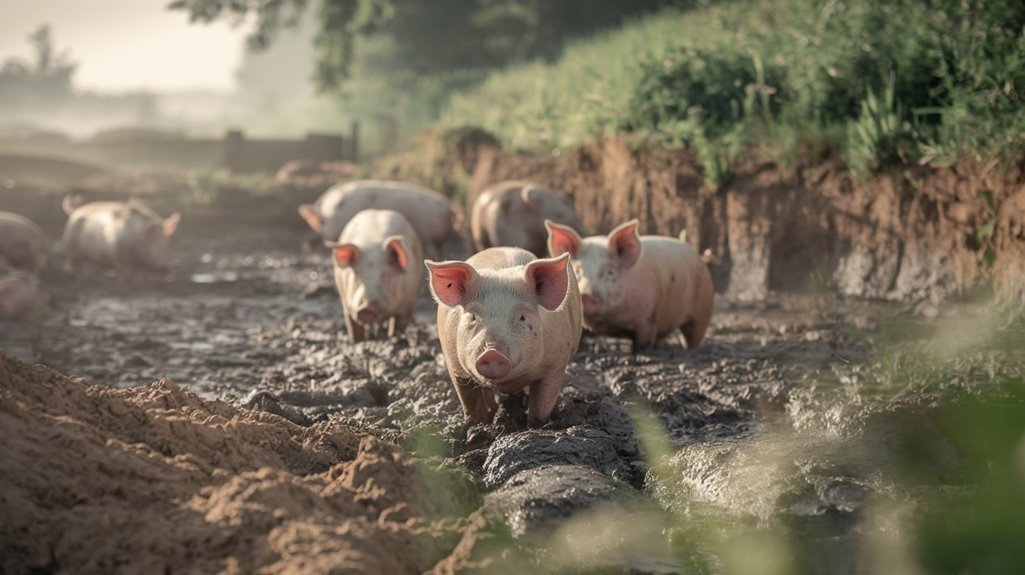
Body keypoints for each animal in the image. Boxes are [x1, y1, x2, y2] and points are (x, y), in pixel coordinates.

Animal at [325, 209, 424, 342]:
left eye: (386, 276)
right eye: (357, 275)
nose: (366, 309)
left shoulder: (408, 304)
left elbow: (398, 326)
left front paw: (394, 338)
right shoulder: (347, 303)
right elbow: (353, 327)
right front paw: (357, 341)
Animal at [426, 248, 581, 427]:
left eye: (522, 317)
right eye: (472, 317)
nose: (492, 353)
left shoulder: (556, 365)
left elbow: (541, 406)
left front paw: (536, 427)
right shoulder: (455, 367)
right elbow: (470, 404)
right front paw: (475, 427)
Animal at [546, 218, 714, 352]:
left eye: (610, 272)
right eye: (578, 270)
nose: (586, 295)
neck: (609, 324)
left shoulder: (647, 317)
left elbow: (643, 341)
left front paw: (639, 353)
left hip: (703, 308)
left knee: (693, 336)